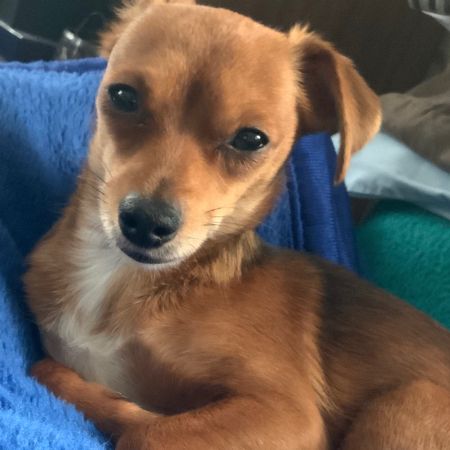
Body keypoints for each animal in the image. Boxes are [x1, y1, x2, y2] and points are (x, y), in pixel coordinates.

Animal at [25, 1, 450, 449]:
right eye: (123, 96)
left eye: (251, 139)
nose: (145, 222)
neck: (118, 279)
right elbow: (45, 369)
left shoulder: (287, 414)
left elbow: (147, 433)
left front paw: (135, 415)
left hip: (410, 398)